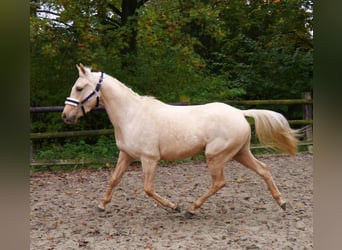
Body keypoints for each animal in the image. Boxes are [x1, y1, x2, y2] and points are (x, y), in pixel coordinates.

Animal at [62, 64, 298, 217]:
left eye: (80, 88)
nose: (66, 116)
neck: (131, 115)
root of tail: (240, 113)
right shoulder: (126, 155)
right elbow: (113, 179)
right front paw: (101, 206)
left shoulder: (149, 159)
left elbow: (148, 188)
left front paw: (174, 206)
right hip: (240, 153)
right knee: (264, 169)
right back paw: (282, 203)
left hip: (215, 155)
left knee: (219, 182)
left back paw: (191, 209)